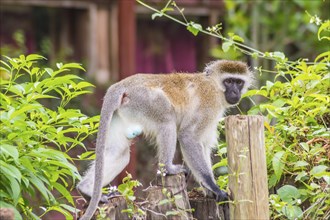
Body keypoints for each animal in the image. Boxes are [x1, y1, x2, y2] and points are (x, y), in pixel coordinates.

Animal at [78, 60, 253, 220]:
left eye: (239, 82)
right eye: (229, 81)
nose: (235, 91)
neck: (214, 85)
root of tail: (122, 84)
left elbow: (204, 145)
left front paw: (208, 191)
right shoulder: (210, 103)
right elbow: (188, 136)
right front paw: (214, 188)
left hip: (126, 111)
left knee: (119, 152)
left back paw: (85, 190)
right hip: (144, 100)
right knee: (167, 118)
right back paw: (168, 168)